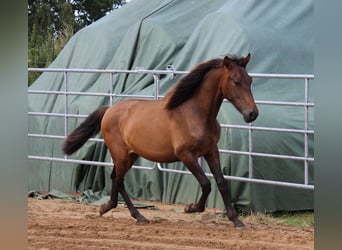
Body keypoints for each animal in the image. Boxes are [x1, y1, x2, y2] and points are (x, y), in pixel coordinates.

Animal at [62, 53, 258, 228]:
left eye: (250, 80)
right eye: (236, 81)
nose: (252, 114)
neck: (195, 113)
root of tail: (109, 110)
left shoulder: (211, 151)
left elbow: (222, 183)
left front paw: (236, 220)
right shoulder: (186, 155)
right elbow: (206, 183)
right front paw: (191, 208)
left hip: (131, 155)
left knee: (116, 179)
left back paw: (125, 212)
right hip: (121, 155)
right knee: (118, 180)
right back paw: (118, 211)